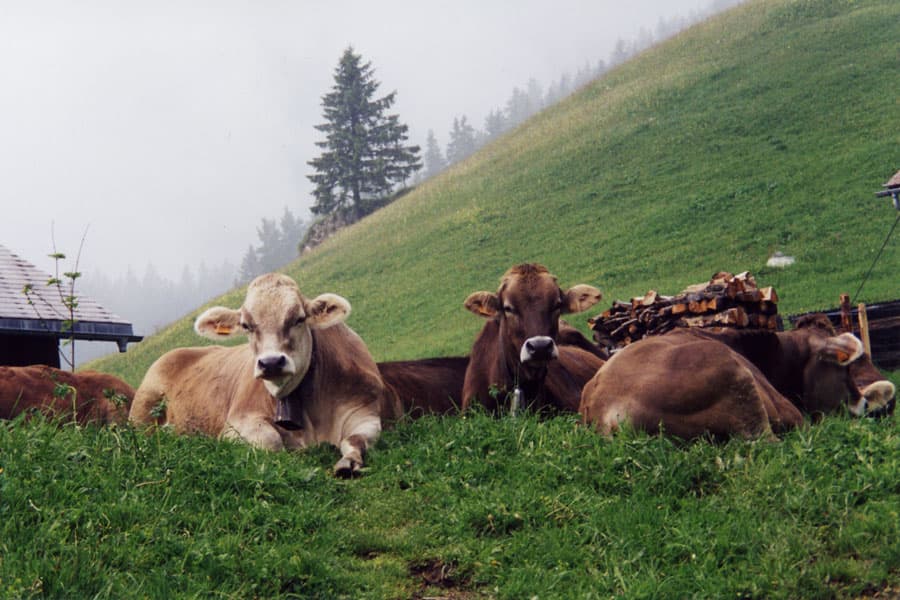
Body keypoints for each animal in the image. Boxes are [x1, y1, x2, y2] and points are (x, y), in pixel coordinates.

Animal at [129, 273, 391, 477]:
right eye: (246, 325)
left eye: (299, 318)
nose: (271, 362)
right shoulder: (237, 423)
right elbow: (270, 440)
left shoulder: (365, 411)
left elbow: (355, 439)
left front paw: (348, 463)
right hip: (141, 413)